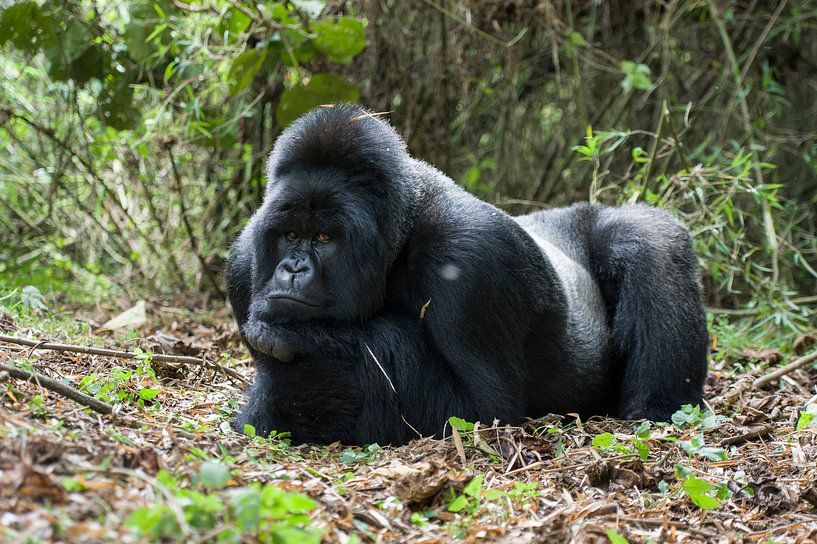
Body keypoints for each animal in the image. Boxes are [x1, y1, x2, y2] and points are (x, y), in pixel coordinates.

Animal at [225, 104, 708, 444]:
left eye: (325, 238)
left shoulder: (473, 256)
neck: (398, 238)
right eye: (291, 234)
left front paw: (300, 341)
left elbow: (479, 409)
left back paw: (660, 407)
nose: (292, 268)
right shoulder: (243, 261)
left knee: (650, 241)